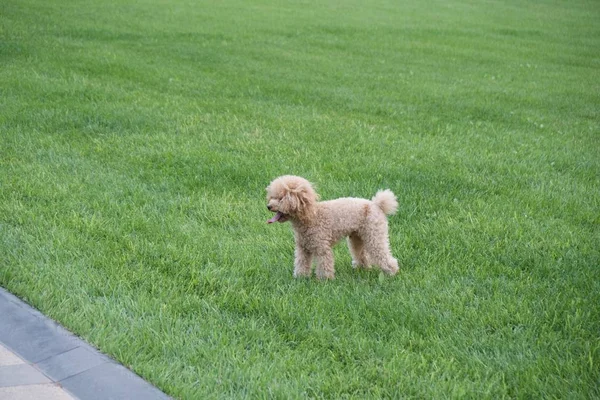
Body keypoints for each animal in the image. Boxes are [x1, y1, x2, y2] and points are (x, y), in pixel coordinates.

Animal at [266, 175, 398, 278]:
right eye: (273, 197)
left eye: (281, 198)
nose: (268, 206)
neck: (310, 216)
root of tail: (377, 204)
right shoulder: (302, 248)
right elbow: (301, 262)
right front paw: (300, 277)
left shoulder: (322, 247)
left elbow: (324, 263)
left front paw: (324, 280)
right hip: (357, 237)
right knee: (361, 254)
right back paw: (362, 268)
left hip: (374, 234)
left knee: (382, 253)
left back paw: (392, 272)